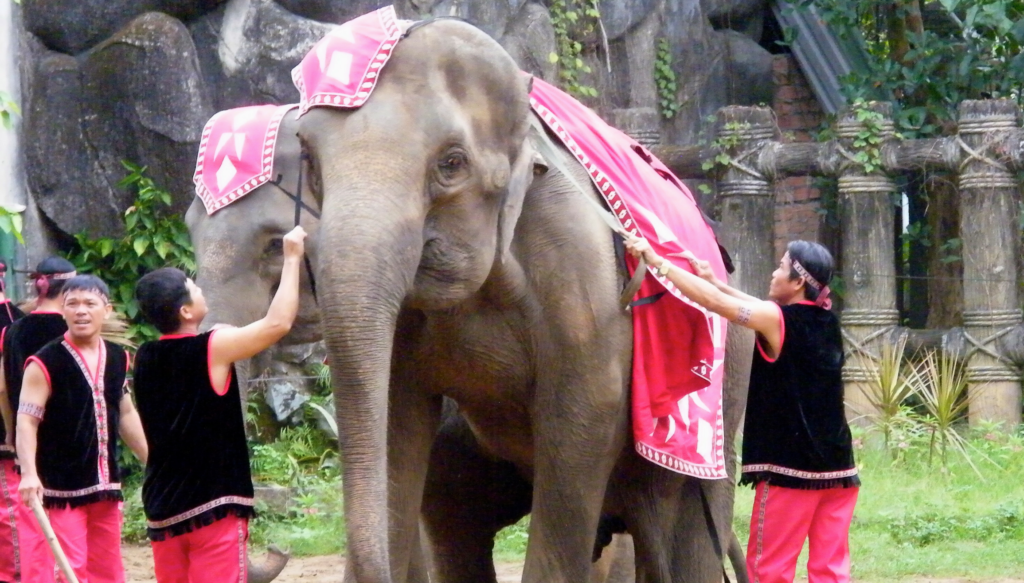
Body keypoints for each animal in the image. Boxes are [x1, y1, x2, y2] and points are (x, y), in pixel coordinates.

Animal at [292, 15, 757, 581]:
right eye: (310, 161)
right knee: (455, 512)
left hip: (721, 395)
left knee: (684, 529)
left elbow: (582, 420)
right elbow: (392, 416)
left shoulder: (579, 265)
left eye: (452, 163)